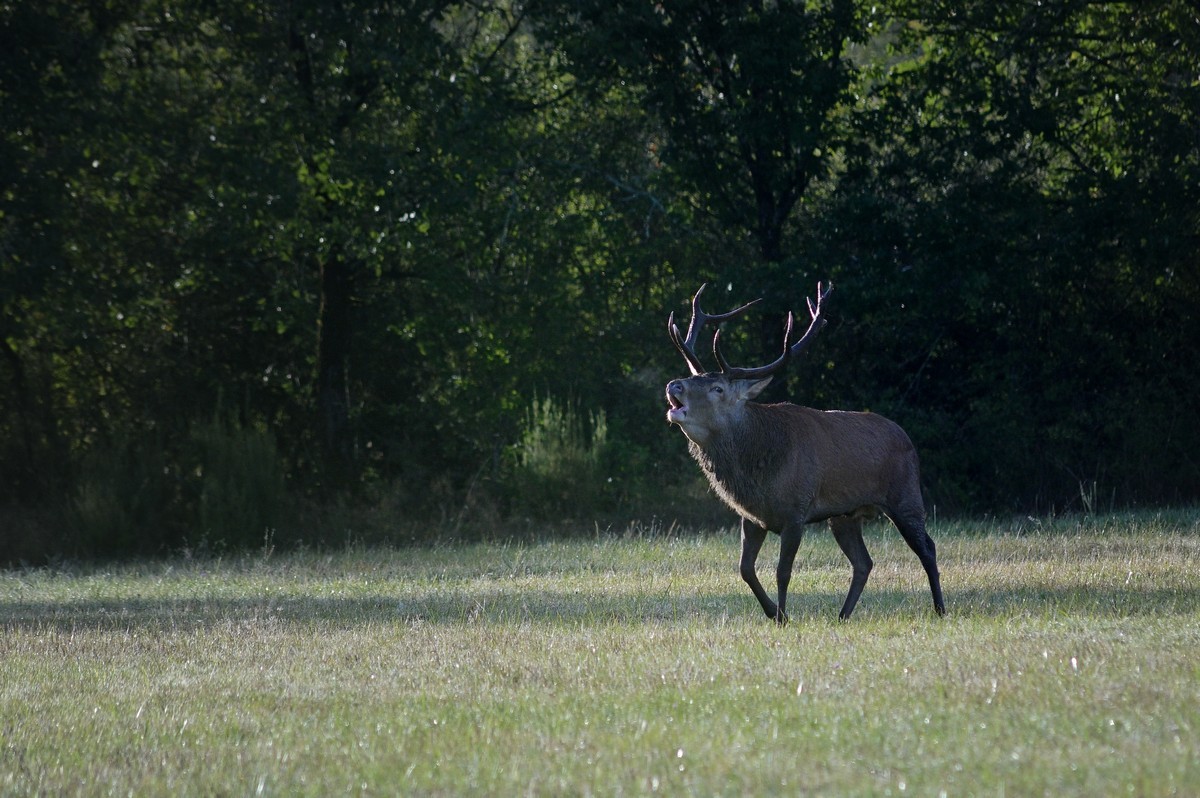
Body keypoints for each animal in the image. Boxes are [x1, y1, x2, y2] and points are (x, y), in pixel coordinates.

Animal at [667, 283, 945, 624]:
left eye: (717, 388)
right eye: (693, 378)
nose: (674, 385)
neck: (759, 475)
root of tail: (907, 438)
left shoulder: (795, 511)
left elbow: (782, 572)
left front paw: (783, 616)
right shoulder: (752, 518)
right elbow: (745, 570)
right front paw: (775, 613)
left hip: (905, 495)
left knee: (927, 548)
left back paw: (940, 609)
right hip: (844, 515)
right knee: (863, 562)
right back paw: (842, 615)